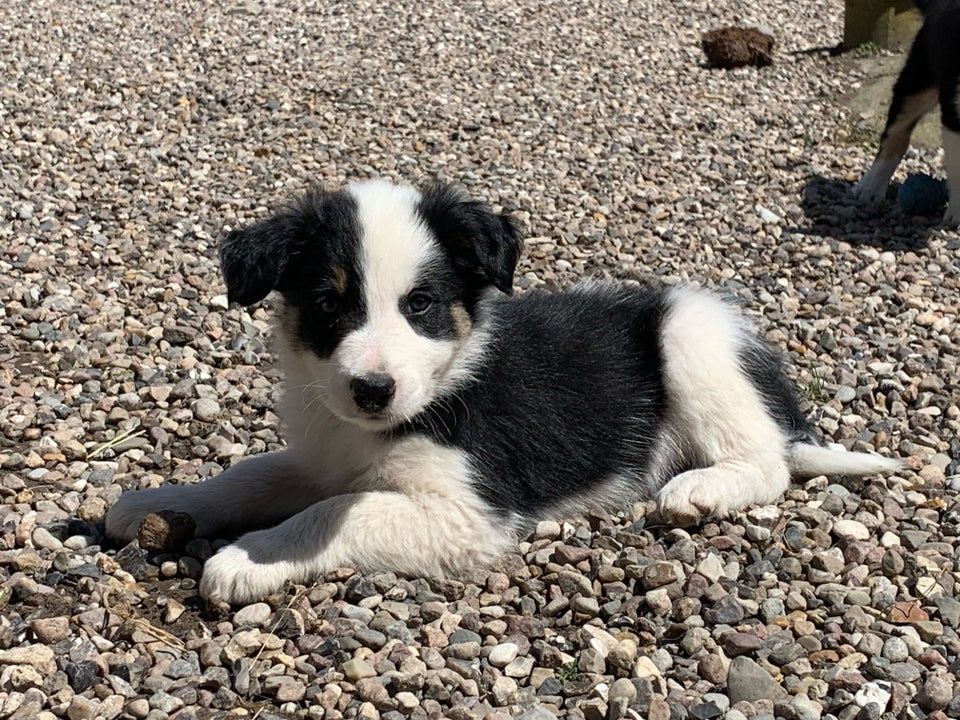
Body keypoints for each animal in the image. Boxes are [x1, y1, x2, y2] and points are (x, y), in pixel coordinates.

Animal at [109, 179, 904, 600]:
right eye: (330, 304)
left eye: (421, 304)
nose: (373, 390)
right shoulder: (322, 450)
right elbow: (253, 474)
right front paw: (153, 503)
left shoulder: (470, 513)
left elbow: (342, 509)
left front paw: (250, 558)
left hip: (690, 335)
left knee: (768, 460)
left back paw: (699, 489)